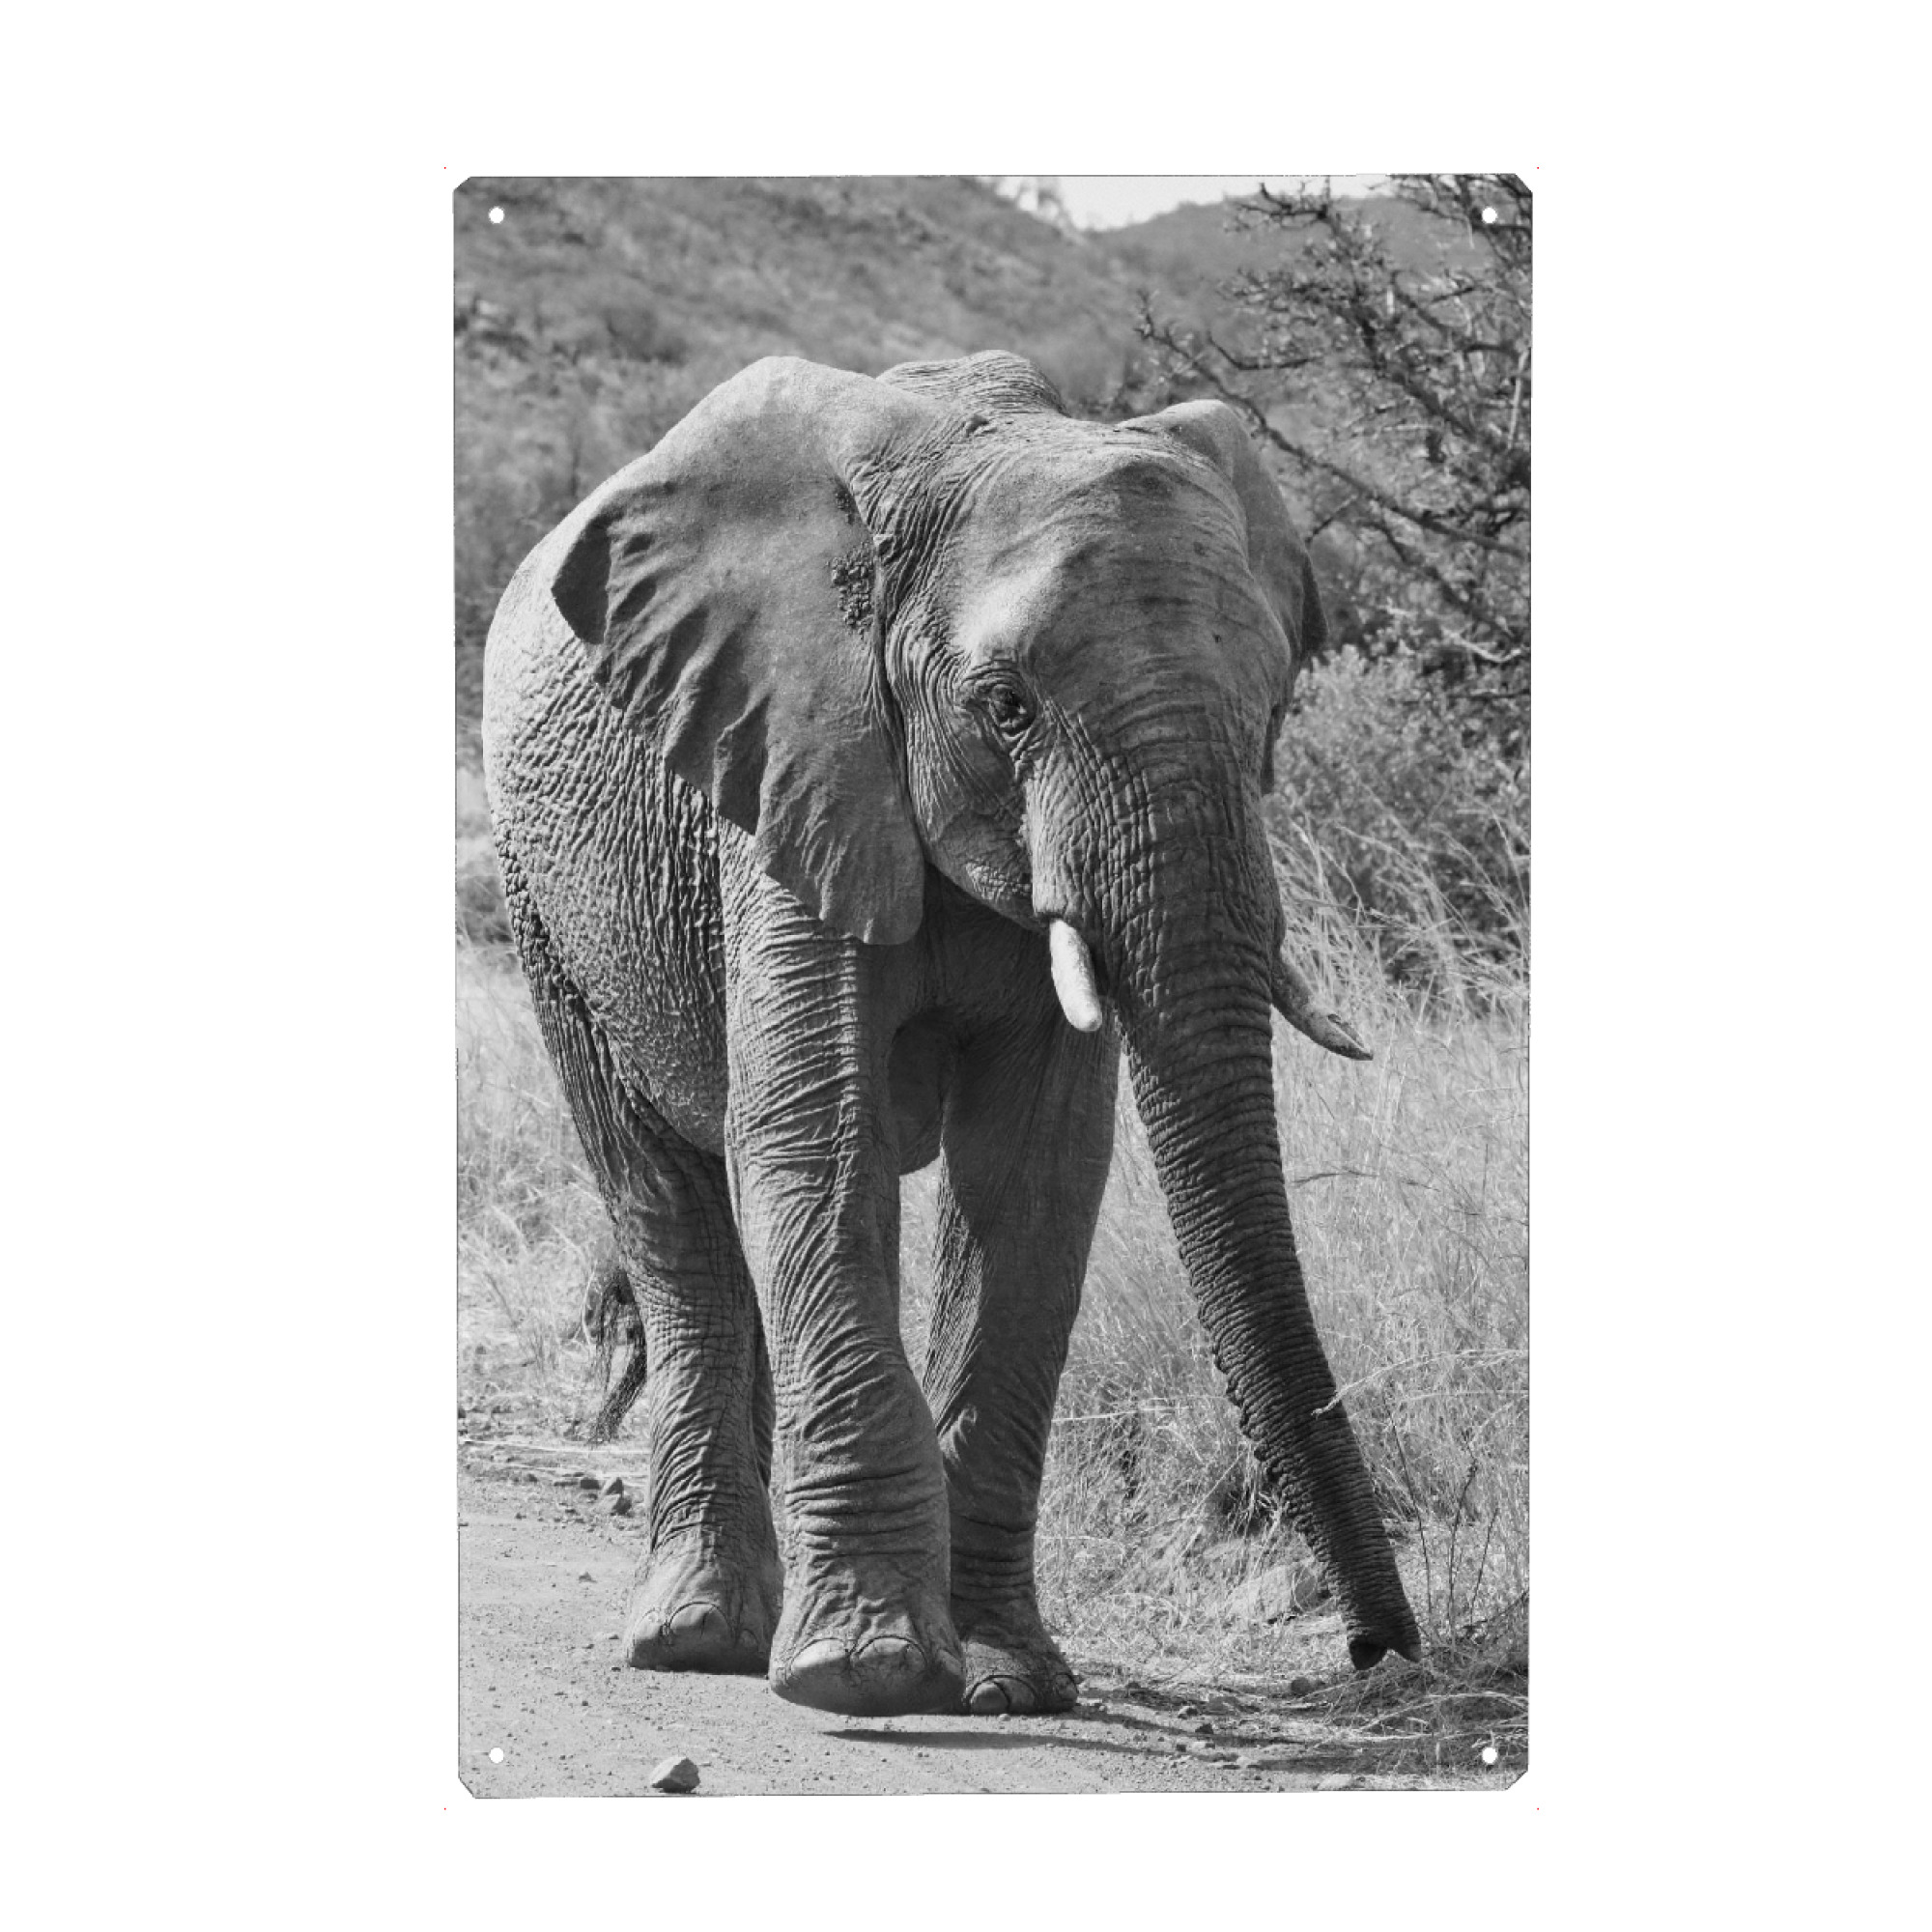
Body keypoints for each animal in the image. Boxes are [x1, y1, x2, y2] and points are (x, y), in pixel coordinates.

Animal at [481, 349, 1422, 1718]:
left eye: (1271, 712)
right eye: (1006, 707)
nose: (1376, 1650)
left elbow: (1036, 1179)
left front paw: (1006, 1681)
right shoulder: (799, 771)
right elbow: (816, 1145)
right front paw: (866, 1674)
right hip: (542, 896)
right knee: (671, 1207)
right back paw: (700, 1637)